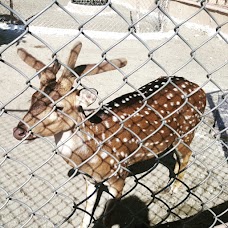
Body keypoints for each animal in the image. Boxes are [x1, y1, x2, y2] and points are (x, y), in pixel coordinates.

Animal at [13, 41, 208, 227]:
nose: (19, 131)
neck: (91, 154)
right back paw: (169, 185)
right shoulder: (89, 178)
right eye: (33, 98)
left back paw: (175, 188)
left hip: (188, 130)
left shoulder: (119, 175)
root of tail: (201, 89)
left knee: (187, 154)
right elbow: (87, 210)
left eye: (58, 107)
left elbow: (107, 218)